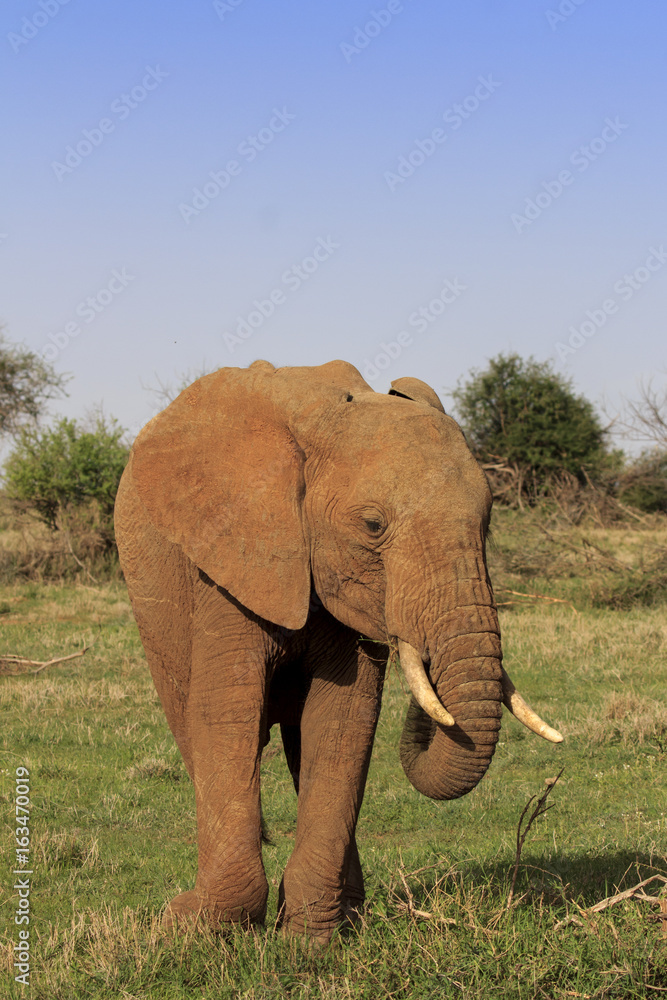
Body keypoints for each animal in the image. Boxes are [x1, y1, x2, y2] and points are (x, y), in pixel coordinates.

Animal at [114, 359, 562, 942]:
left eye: (487, 521)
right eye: (372, 526)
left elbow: (344, 719)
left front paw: (312, 940)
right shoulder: (231, 556)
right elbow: (225, 712)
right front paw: (193, 926)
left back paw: (348, 908)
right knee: (190, 722)